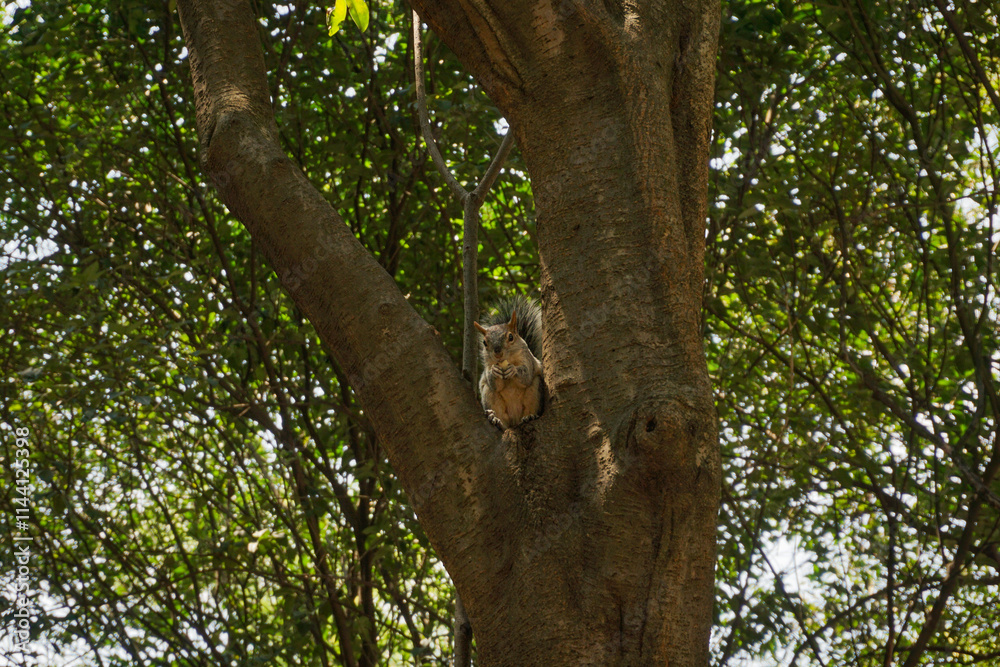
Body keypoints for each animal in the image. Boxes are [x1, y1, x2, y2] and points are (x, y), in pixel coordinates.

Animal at [474, 296, 544, 430]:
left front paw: (514, 370)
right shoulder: (488, 365)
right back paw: (495, 419)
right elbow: (494, 384)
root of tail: (515, 420)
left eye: (511, 337)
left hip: (535, 390)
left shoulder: (528, 359)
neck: (509, 359)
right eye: (485, 342)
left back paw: (529, 416)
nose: (497, 353)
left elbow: (526, 376)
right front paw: (494, 372)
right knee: (502, 420)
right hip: (489, 396)